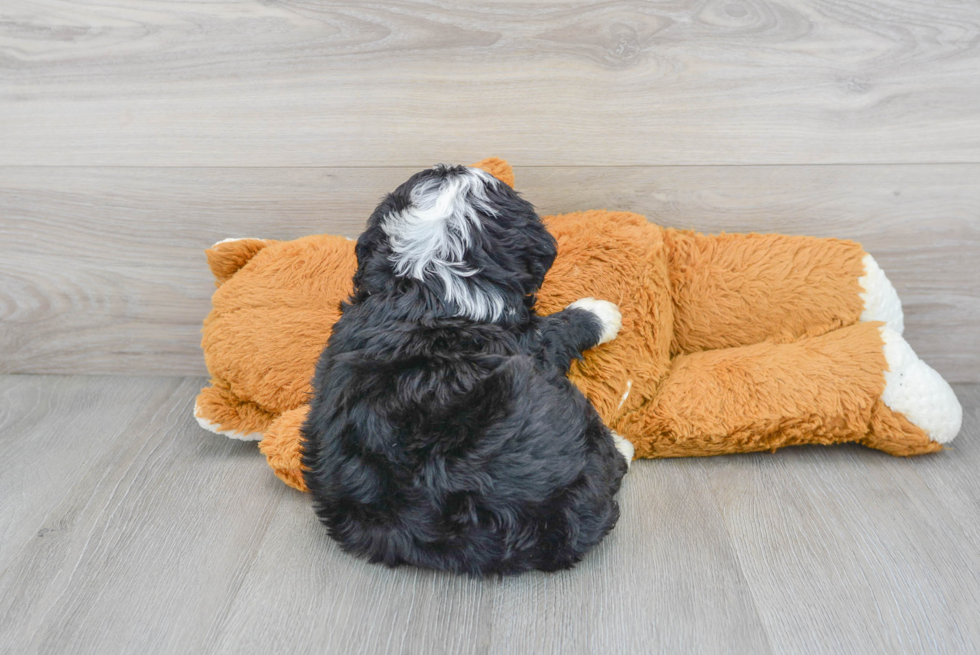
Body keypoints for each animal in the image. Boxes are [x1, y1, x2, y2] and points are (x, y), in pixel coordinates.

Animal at [302, 167, 632, 576]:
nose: (457, 166)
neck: (429, 285)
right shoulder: (531, 343)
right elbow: (558, 329)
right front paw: (601, 312)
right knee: (606, 460)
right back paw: (621, 445)